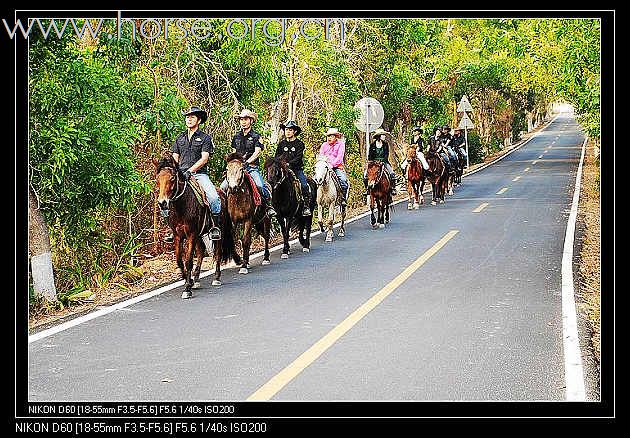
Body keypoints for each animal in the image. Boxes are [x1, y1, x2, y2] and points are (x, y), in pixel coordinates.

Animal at [154, 155, 241, 298]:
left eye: (172, 178)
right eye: (157, 179)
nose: (162, 203)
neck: (182, 206)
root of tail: (222, 193)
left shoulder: (191, 235)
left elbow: (188, 260)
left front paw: (187, 288)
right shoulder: (178, 236)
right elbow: (179, 260)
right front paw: (187, 280)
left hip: (218, 232)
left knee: (217, 253)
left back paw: (216, 278)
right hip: (200, 235)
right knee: (200, 252)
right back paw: (196, 279)